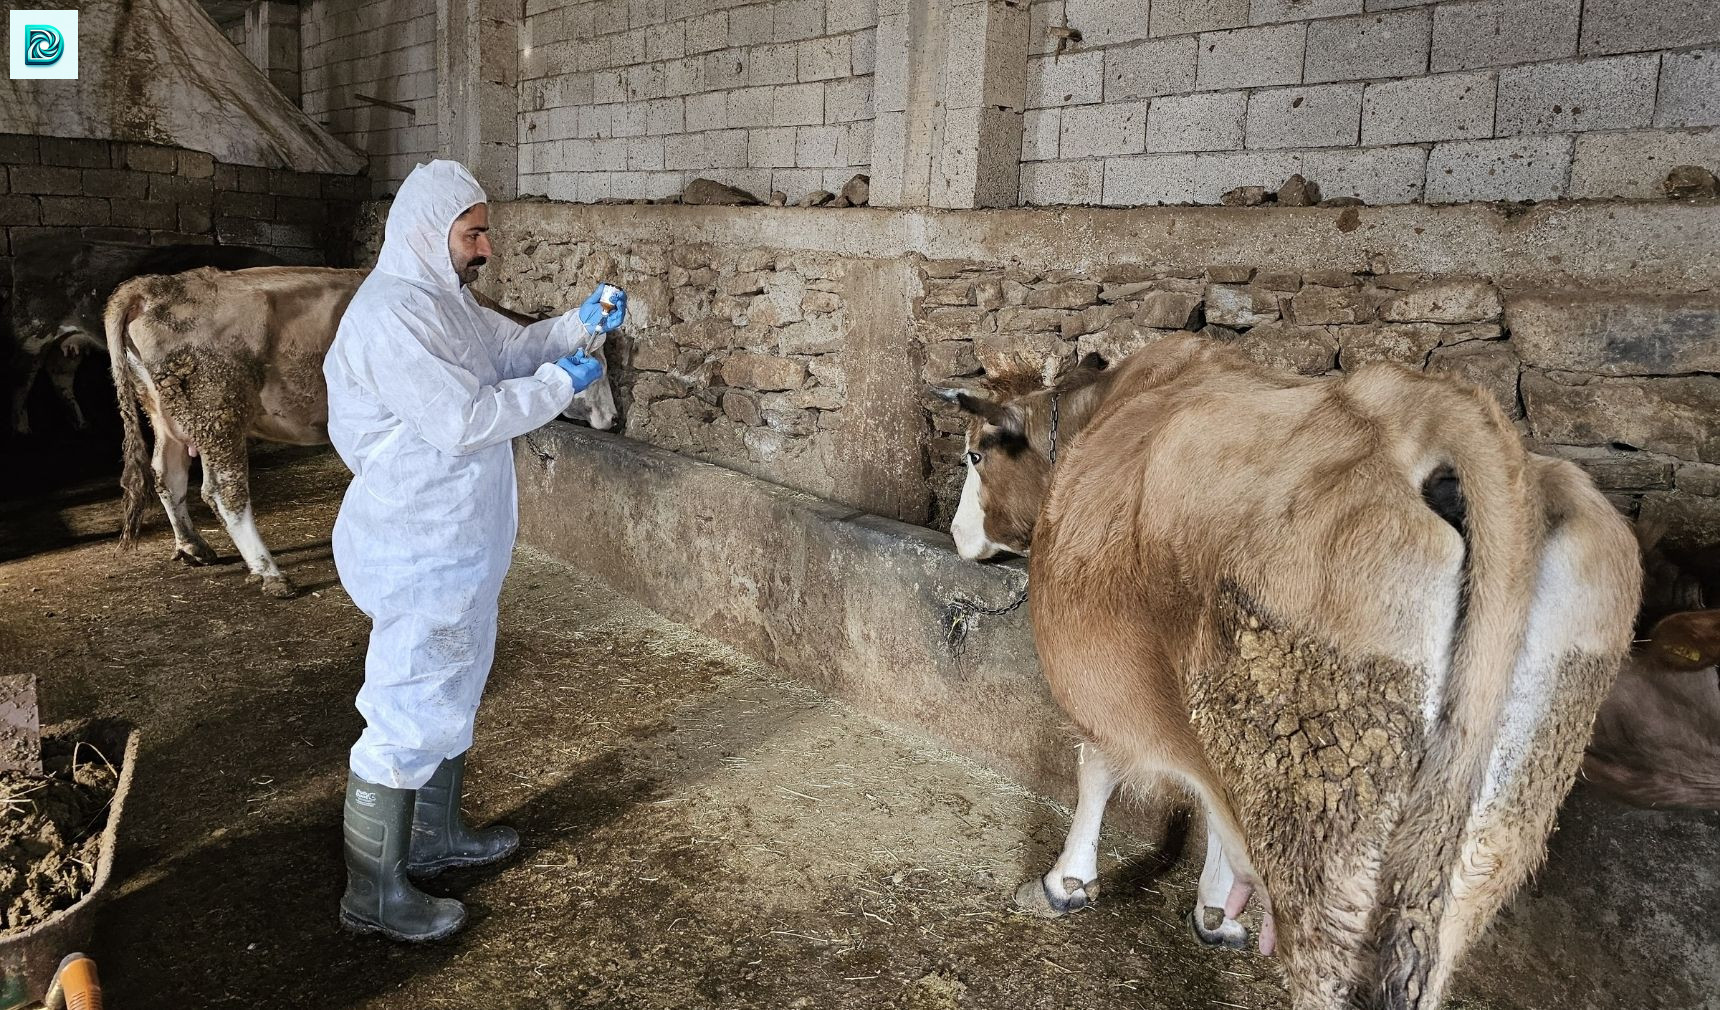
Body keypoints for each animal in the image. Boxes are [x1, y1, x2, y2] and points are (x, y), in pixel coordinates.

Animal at [7, 237, 282, 435]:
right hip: (31, 335)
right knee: (21, 382)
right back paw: (21, 429)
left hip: (68, 341)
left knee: (60, 375)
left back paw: (81, 424)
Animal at [105, 268, 619, 602]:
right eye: (597, 367)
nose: (614, 420)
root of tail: (152, 286)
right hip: (218, 409)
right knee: (223, 492)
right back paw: (270, 573)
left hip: (167, 415)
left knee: (166, 476)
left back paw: (192, 546)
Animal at [942, 337, 1637, 1010]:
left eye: (975, 455)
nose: (954, 532)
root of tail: (1424, 409)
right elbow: (1217, 810)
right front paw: (1219, 910)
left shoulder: (1104, 682)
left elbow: (1098, 772)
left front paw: (1064, 883)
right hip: (1490, 831)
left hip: (1322, 809)